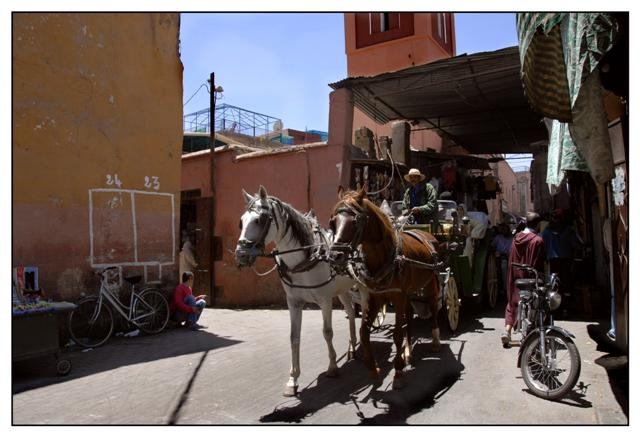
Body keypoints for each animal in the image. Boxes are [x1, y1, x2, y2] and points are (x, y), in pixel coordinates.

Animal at [235, 184, 358, 396]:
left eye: (259, 220)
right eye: (241, 222)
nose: (241, 254)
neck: (305, 258)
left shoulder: (325, 300)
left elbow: (327, 332)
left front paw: (332, 367)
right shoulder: (293, 302)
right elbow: (294, 337)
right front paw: (293, 379)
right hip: (343, 290)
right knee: (351, 313)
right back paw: (352, 346)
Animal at [328, 186, 442, 386]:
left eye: (355, 222)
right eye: (333, 222)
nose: (335, 257)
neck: (384, 257)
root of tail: (425, 233)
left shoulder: (397, 297)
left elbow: (397, 333)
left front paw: (398, 372)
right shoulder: (375, 298)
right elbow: (364, 332)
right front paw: (373, 368)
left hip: (431, 283)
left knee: (433, 306)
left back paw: (435, 341)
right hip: (409, 292)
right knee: (410, 316)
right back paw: (408, 352)